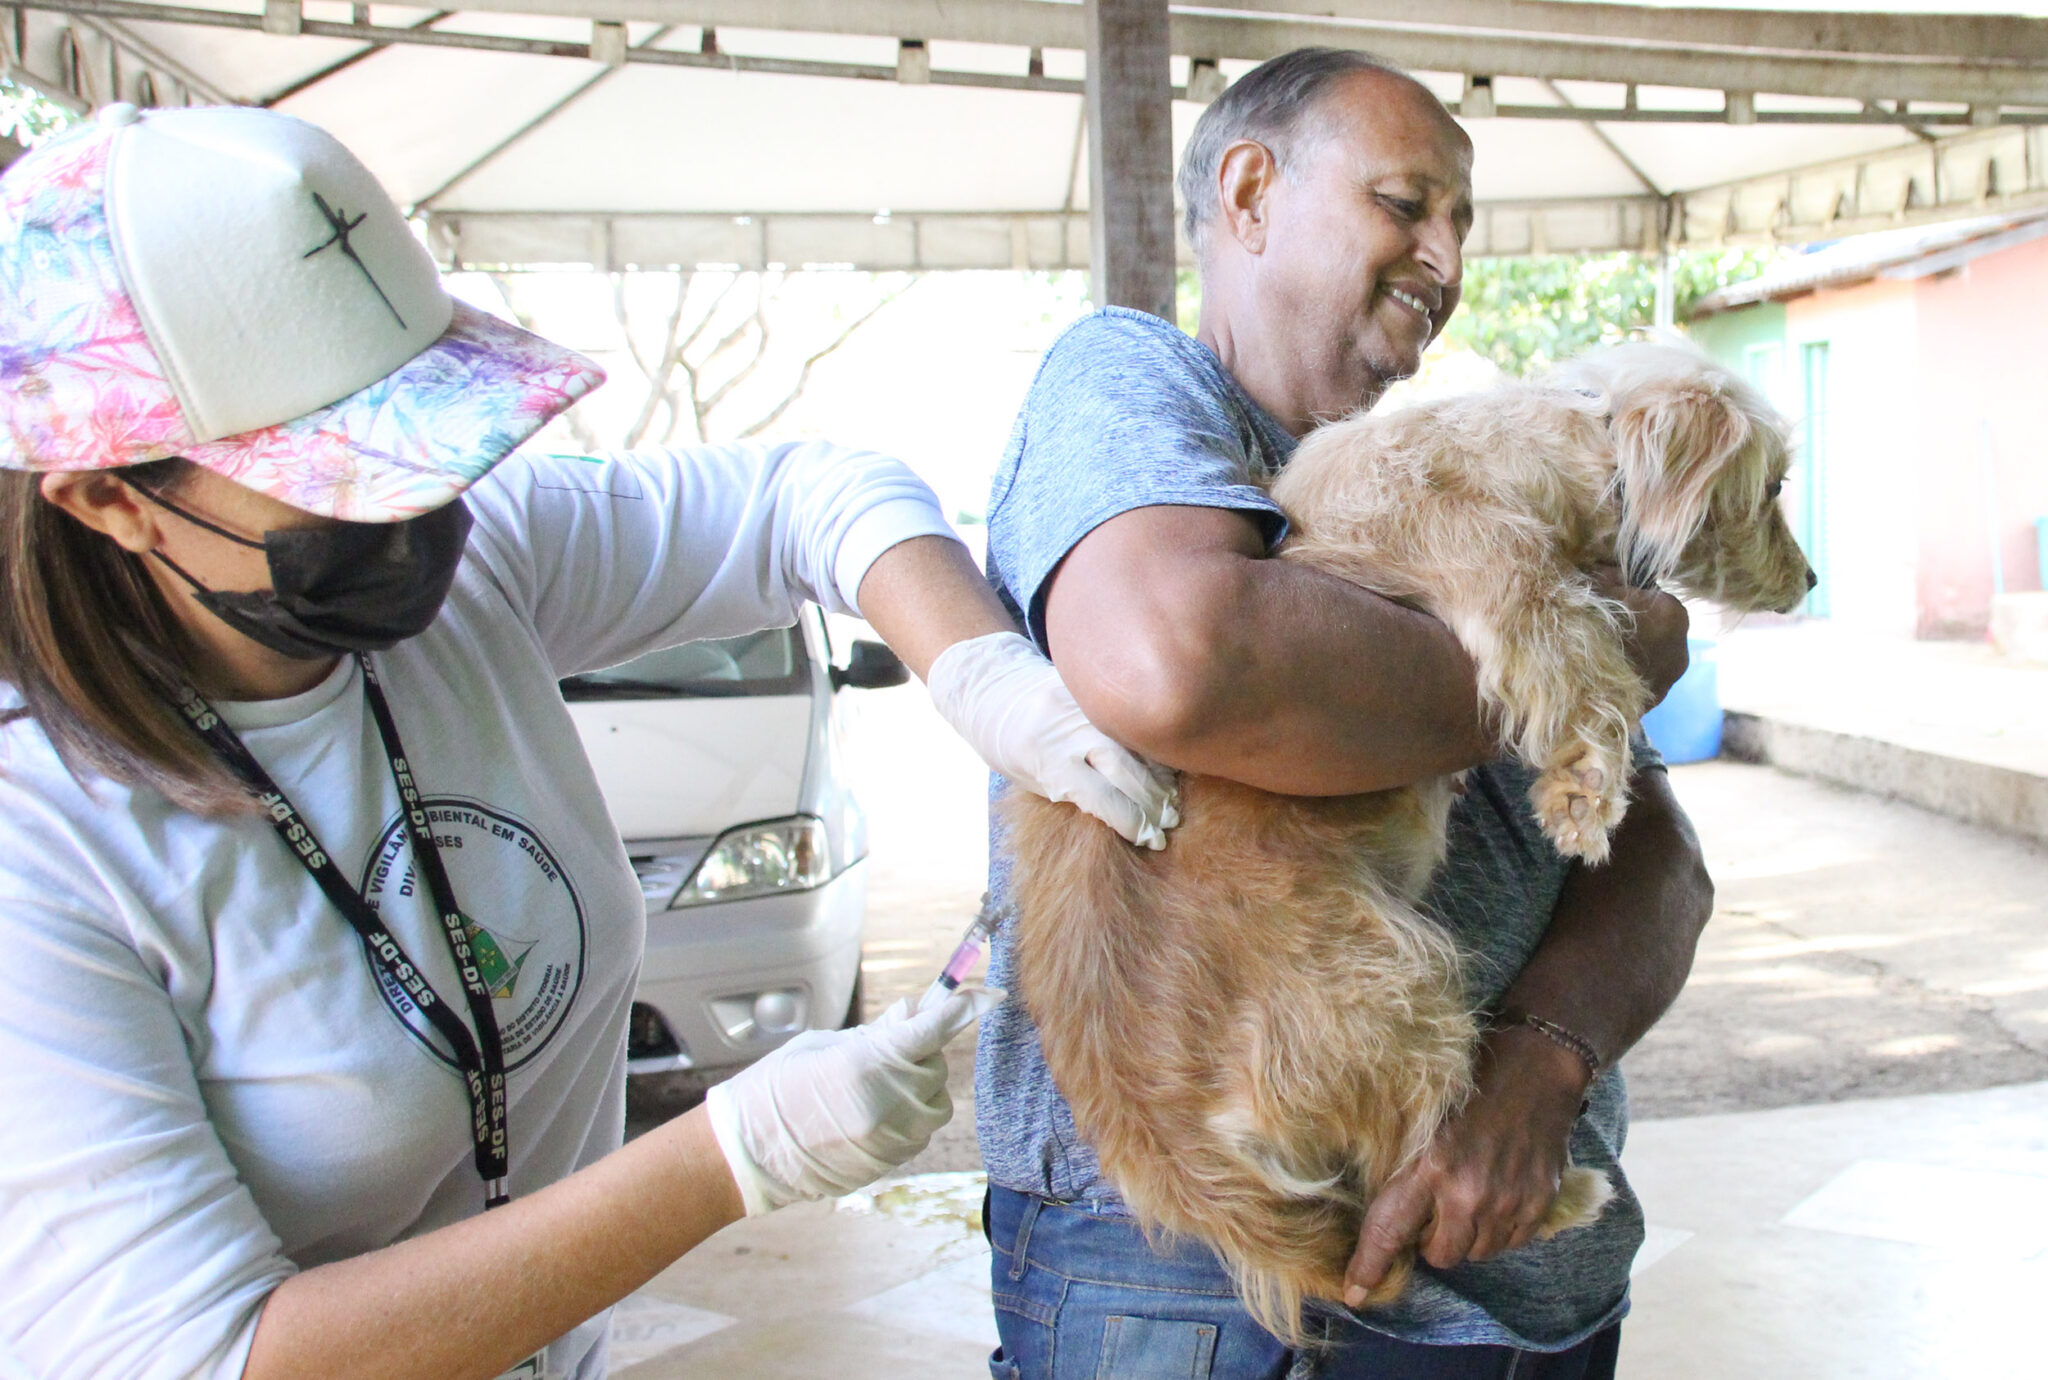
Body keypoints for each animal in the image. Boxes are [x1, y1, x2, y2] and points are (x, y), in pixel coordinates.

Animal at [999, 337, 1818, 1334]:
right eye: (1773, 486)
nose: (1812, 581)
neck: (1569, 448)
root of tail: (1167, 1143)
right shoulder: (1497, 567)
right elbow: (1576, 649)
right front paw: (1583, 792)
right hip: (1395, 990)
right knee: (1408, 1168)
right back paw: (1567, 1196)